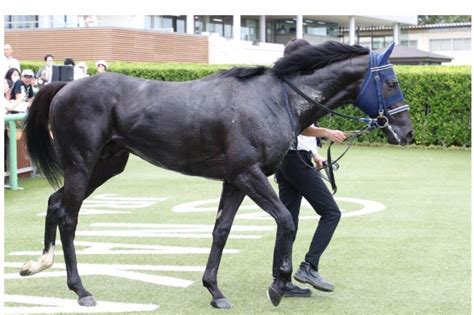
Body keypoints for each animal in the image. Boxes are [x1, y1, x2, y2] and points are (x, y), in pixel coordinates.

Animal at [21, 40, 412, 310]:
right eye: (391, 82)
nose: (406, 132)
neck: (276, 98)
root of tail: (65, 87)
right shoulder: (250, 175)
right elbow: (286, 221)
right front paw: (277, 286)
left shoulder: (235, 180)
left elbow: (221, 231)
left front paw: (214, 290)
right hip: (82, 163)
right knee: (69, 216)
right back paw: (80, 290)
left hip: (105, 164)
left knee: (55, 203)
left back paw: (38, 263)